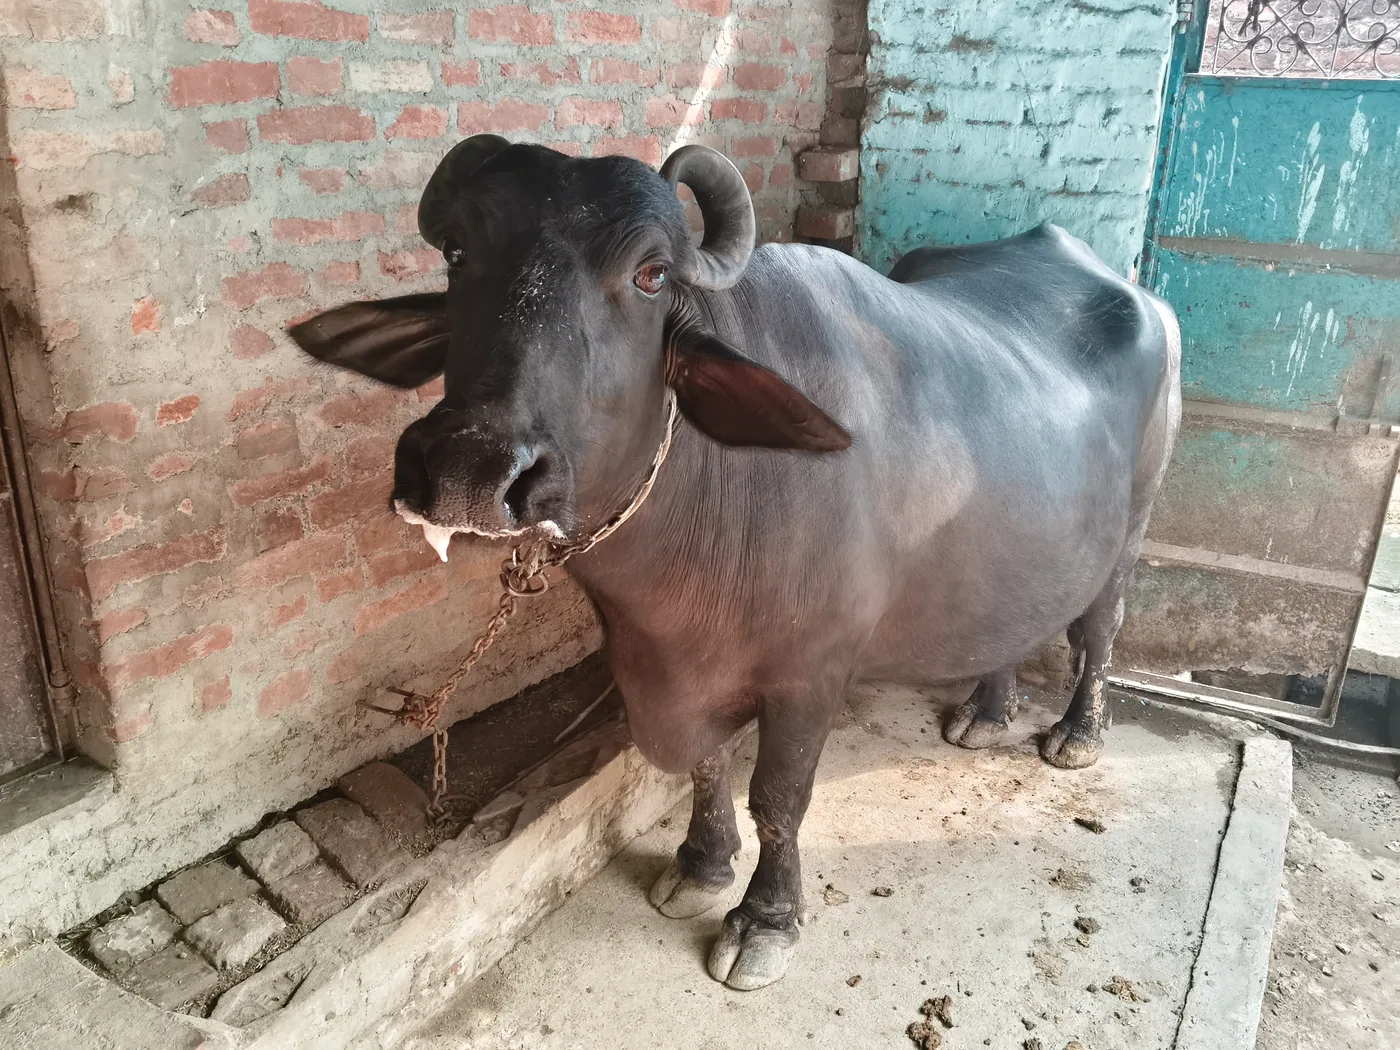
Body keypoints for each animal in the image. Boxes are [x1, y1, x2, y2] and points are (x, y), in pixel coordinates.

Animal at [290, 137, 1181, 990]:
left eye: (650, 274)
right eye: (458, 253)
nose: (471, 469)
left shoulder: (810, 676)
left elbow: (779, 800)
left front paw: (764, 921)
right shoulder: (671, 669)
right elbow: (707, 766)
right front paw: (701, 866)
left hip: (1132, 528)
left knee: (1099, 631)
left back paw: (1076, 733)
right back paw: (987, 712)